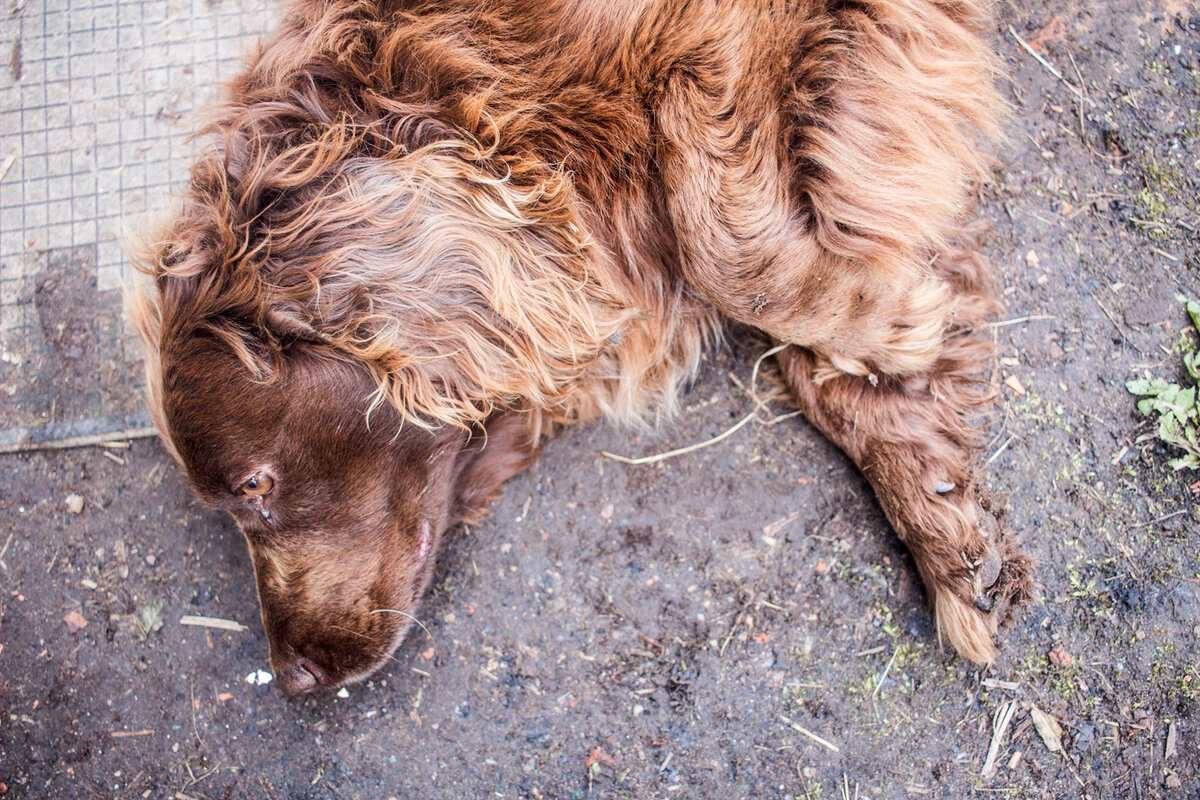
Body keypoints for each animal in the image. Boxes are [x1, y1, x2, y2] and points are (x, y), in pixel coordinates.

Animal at [129, 0, 1032, 695]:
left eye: (256, 486)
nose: (290, 680)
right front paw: (943, 516)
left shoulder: (727, 39)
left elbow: (726, 243)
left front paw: (897, 320)